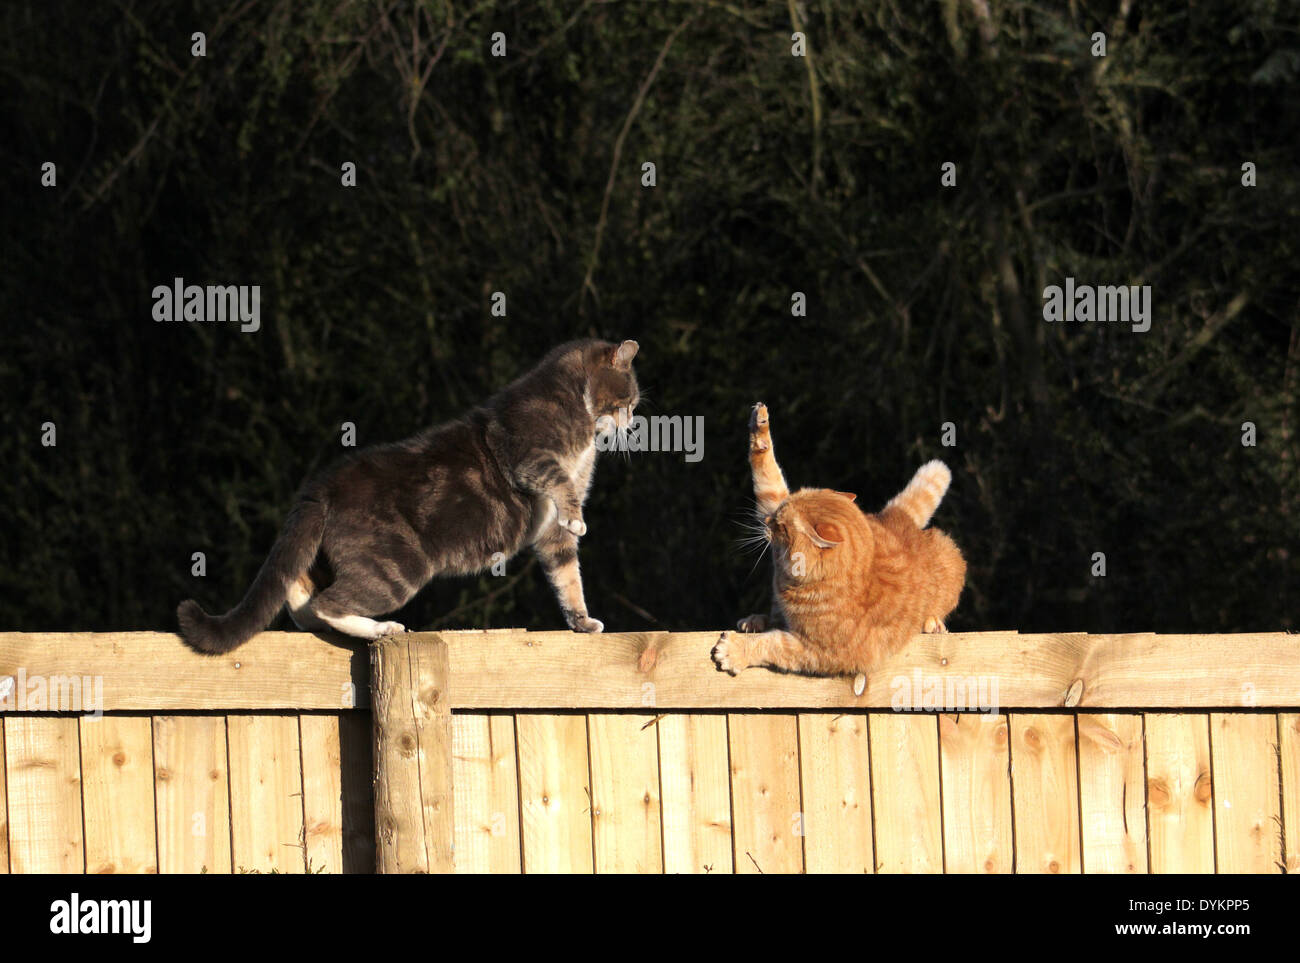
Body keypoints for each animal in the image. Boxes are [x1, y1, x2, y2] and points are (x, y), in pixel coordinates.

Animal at [178, 337, 639, 652]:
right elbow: (557, 483)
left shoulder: (550, 535)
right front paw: (578, 518)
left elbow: (567, 576)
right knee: (330, 601)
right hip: (399, 568)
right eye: (630, 399)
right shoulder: (529, 456)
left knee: (299, 588)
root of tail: (319, 487)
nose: (633, 422)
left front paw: (582, 622)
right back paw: (382, 628)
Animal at [712, 402, 967, 686]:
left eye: (781, 524)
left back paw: (933, 624)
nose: (768, 520)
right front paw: (760, 425)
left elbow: (773, 644)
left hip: (948, 554)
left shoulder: (820, 652)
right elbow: (769, 476)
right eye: (778, 512)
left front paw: (734, 651)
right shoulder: (774, 503)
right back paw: (755, 620)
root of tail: (895, 519)